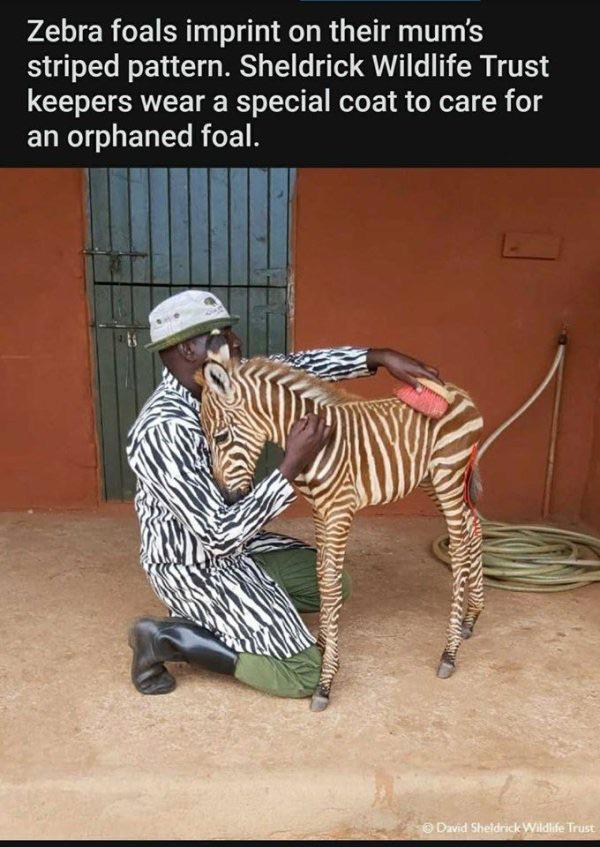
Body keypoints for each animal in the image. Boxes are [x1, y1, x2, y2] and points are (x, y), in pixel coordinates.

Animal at [199, 342, 486, 712]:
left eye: (220, 436)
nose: (228, 499)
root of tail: (459, 393)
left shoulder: (338, 510)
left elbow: (332, 583)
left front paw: (326, 680)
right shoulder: (321, 511)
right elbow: (322, 576)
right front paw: (322, 645)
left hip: (448, 474)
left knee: (461, 547)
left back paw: (449, 652)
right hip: (433, 480)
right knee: (473, 527)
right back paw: (471, 616)